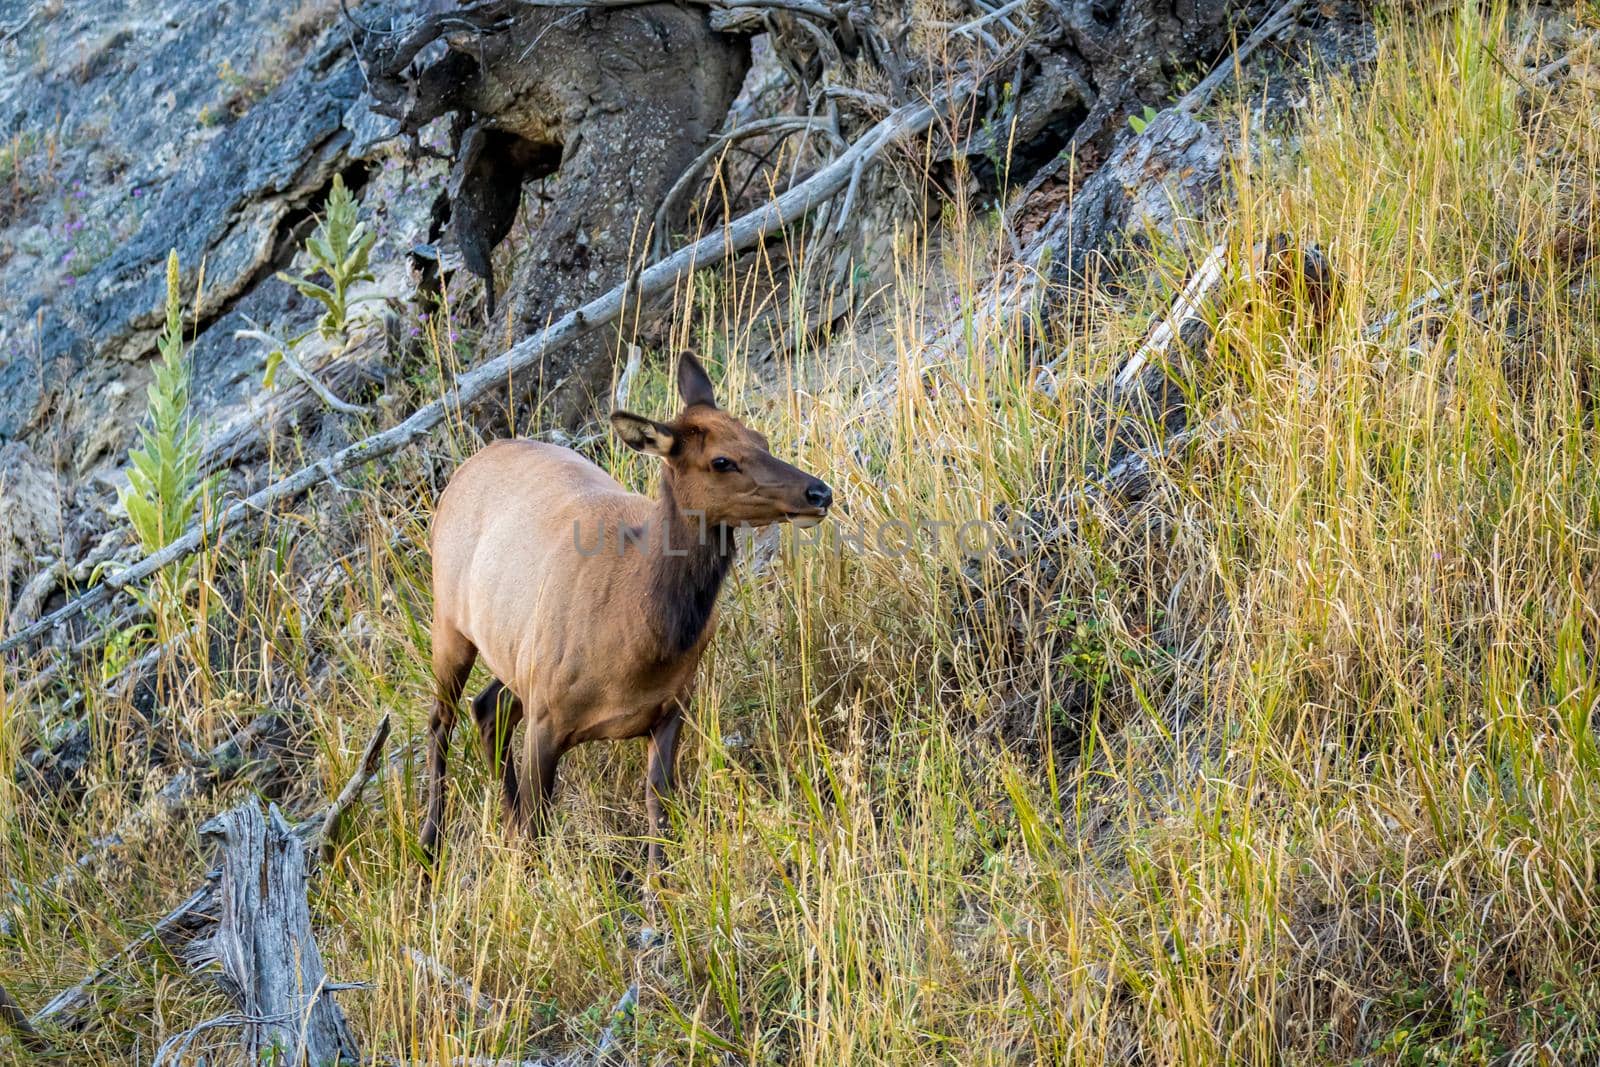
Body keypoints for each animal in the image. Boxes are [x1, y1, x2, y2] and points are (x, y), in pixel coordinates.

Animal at [419, 355, 832, 863]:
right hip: (450, 621)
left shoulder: (672, 706)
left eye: (761, 439)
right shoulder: (545, 718)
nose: (819, 493)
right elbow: (541, 822)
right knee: (440, 720)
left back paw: (501, 826)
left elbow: (659, 811)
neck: (636, 637)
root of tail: (462, 471)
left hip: (517, 651)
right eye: (721, 461)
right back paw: (429, 843)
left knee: (487, 707)